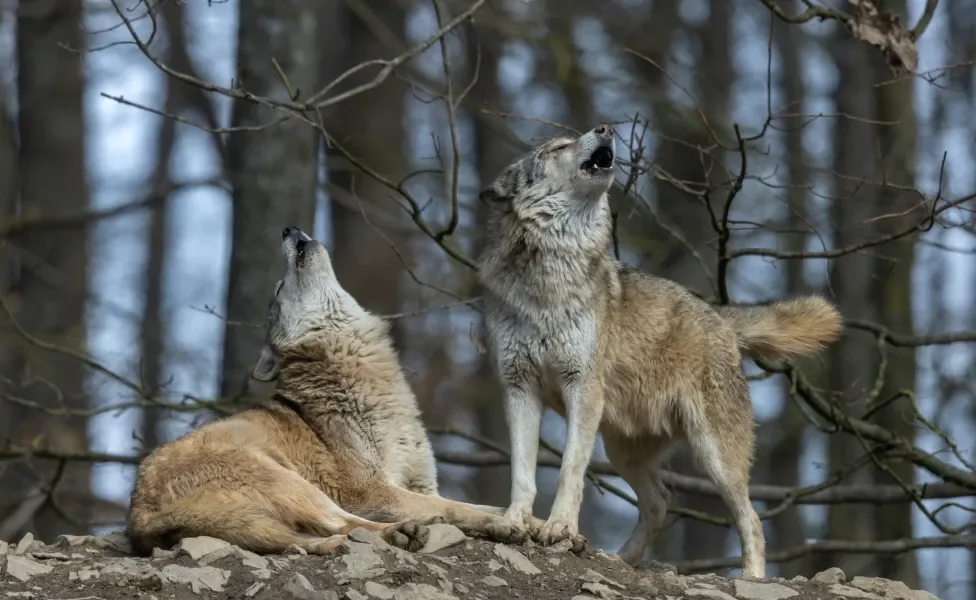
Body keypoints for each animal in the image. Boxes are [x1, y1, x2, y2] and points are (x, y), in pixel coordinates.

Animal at [127, 227, 536, 556]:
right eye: (279, 288)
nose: (288, 228)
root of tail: (139, 517)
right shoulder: (374, 491)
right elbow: (458, 508)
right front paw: (501, 524)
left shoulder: (424, 485)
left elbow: (482, 505)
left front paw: (530, 522)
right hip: (292, 483)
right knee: (349, 525)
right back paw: (403, 532)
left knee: (314, 538)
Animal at [476, 124, 844, 580]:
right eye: (558, 147)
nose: (605, 128)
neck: (549, 275)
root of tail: (721, 316)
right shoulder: (518, 388)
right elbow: (522, 472)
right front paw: (513, 521)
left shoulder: (582, 388)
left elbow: (569, 470)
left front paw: (559, 528)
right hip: (622, 451)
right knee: (660, 501)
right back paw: (621, 559)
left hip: (714, 456)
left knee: (752, 520)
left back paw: (751, 579)